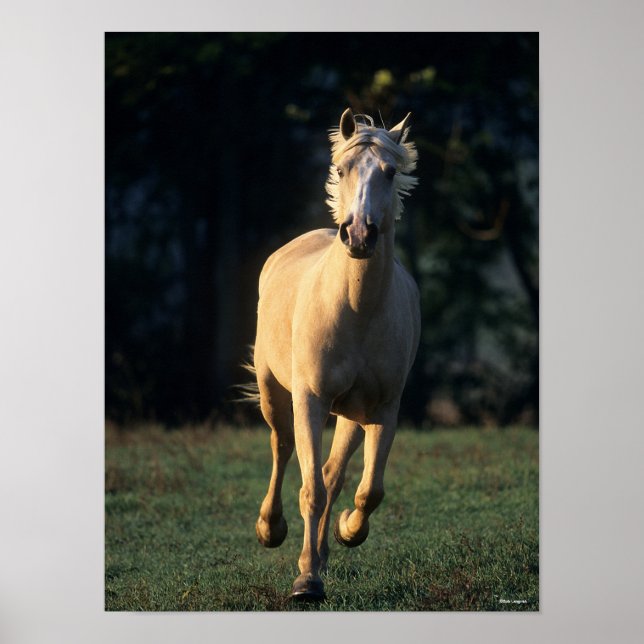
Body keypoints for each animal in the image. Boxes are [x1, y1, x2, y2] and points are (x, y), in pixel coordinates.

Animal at [251, 108, 421, 601]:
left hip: (350, 413)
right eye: (343, 169)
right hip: (274, 392)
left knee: (333, 472)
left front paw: (347, 532)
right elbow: (310, 489)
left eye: (390, 172)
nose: (359, 234)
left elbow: (367, 491)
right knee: (283, 446)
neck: (355, 308)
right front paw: (306, 581)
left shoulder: (383, 409)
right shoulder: (310, 399)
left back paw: (326, 548)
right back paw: (271, 529)